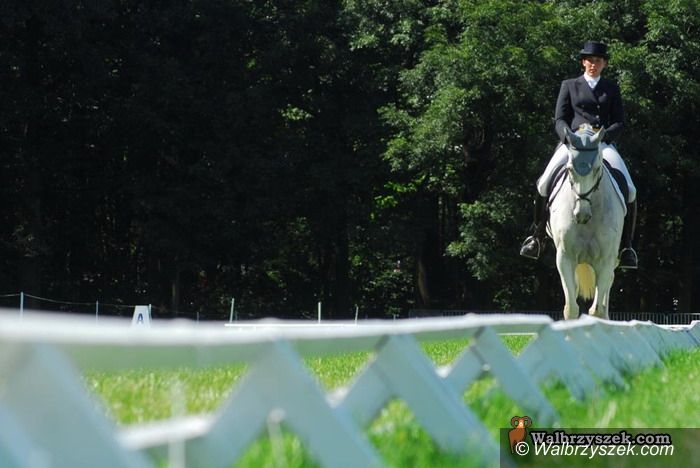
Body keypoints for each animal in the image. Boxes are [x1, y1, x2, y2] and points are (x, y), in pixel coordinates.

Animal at [548, 124, 626, 320]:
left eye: (597, 169)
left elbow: (596, 310)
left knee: (607, 290)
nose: (581, 215)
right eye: (569, 169)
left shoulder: (605, 260)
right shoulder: (565, 257)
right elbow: (571, 308)